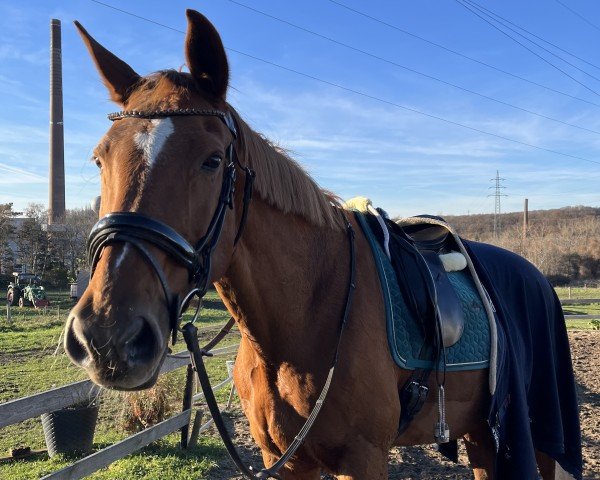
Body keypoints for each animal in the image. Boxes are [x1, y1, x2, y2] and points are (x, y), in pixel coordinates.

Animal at [64, 9, 572, 478]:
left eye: (212, 160)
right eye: (100, 159)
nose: (108, 337)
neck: (305, 315)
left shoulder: (364, 459)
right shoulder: (284, 460)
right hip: (480, 435)